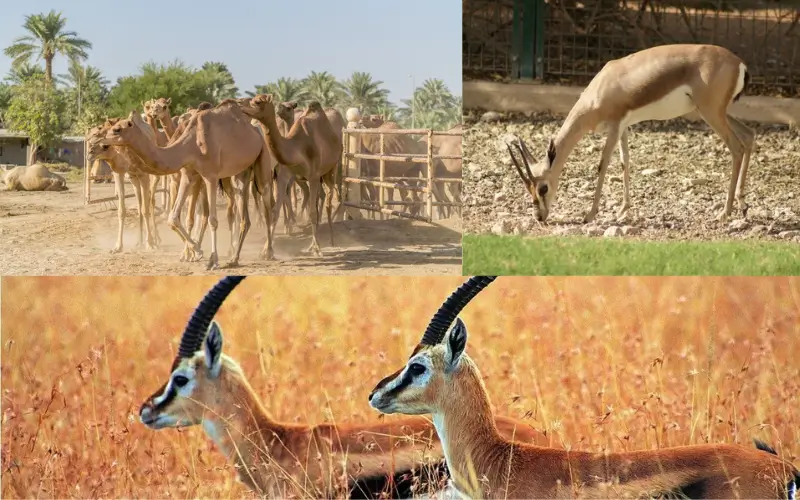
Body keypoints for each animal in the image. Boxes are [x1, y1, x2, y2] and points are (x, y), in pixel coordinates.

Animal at [86, 120, 160, 252]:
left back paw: (156, 240)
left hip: (151, 175)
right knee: (140, 203)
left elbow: (145, 209)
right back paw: (139, 241)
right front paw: (117, 247)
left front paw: (150, 244)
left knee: (151, 200)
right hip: (134, 178)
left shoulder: (144, 175)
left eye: (105, 146)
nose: (90, 153)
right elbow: (122, 210)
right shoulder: (119, 173)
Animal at [99, 101, 275, 269]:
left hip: (263, 159)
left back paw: (268, 252)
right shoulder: (188, 174)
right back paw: (234, 258)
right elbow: (173, 218)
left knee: (267, 204)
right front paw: (197, 251)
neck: (191, 145)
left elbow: (212, 220)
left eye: (117, 130)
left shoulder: (210, 175)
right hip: (240, 173)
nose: (102, 143)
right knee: (244, 211)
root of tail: (255, 130)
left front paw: (212, 260)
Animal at [237, 94, 342, 257]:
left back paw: (330, 239)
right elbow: (274, 211)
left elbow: (312, 212)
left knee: (329, 200)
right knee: (321, 198)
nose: (239, 104)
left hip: (330, 170)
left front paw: (316, 249)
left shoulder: (312, 176)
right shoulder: (283, 177)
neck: (296, 149)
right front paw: (266, 250)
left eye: (258, 102)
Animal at [507, 44, 755, 225]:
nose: (539, 217)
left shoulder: (615, 125)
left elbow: (603, 165)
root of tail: (739, 63)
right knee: (749, 135)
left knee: (736, 147)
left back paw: (725, 212)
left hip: (710, 113)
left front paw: (590, 215)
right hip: (712, 112)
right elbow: (625, 161)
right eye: (528, 188)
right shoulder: (624, 127)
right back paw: (742, 205)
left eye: (543, 187)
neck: (601, 89)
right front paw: (623, 210)